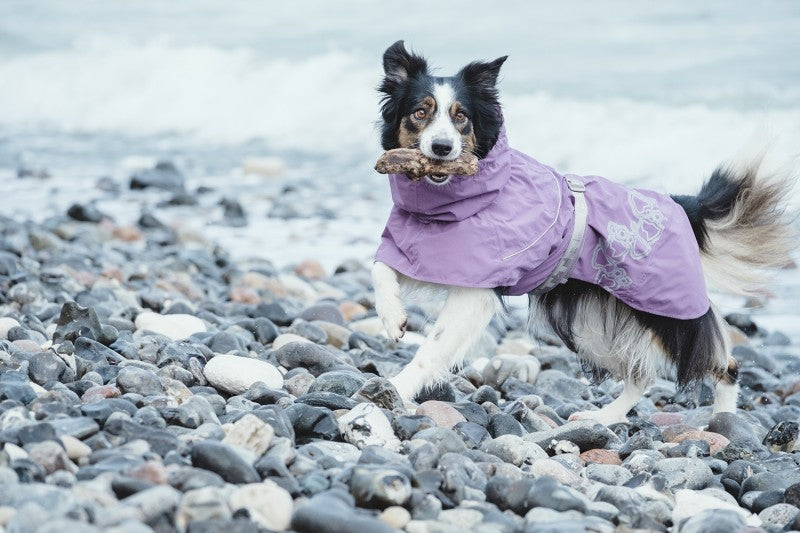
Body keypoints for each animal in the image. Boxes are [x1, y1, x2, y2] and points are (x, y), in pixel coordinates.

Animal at [372, 40, 796, 424]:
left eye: (461, 117)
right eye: (421, 112)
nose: (442, 148)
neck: (448, 203)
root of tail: (679, 205)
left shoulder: (476, 288)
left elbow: (432, 348)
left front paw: (397, 387)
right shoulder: (426, 252)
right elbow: (380, 267)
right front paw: (394, 319)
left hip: (668, 314)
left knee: (723, 363)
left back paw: (724, 422)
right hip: (598, 321)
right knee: (641, 374)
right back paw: (604, 417)